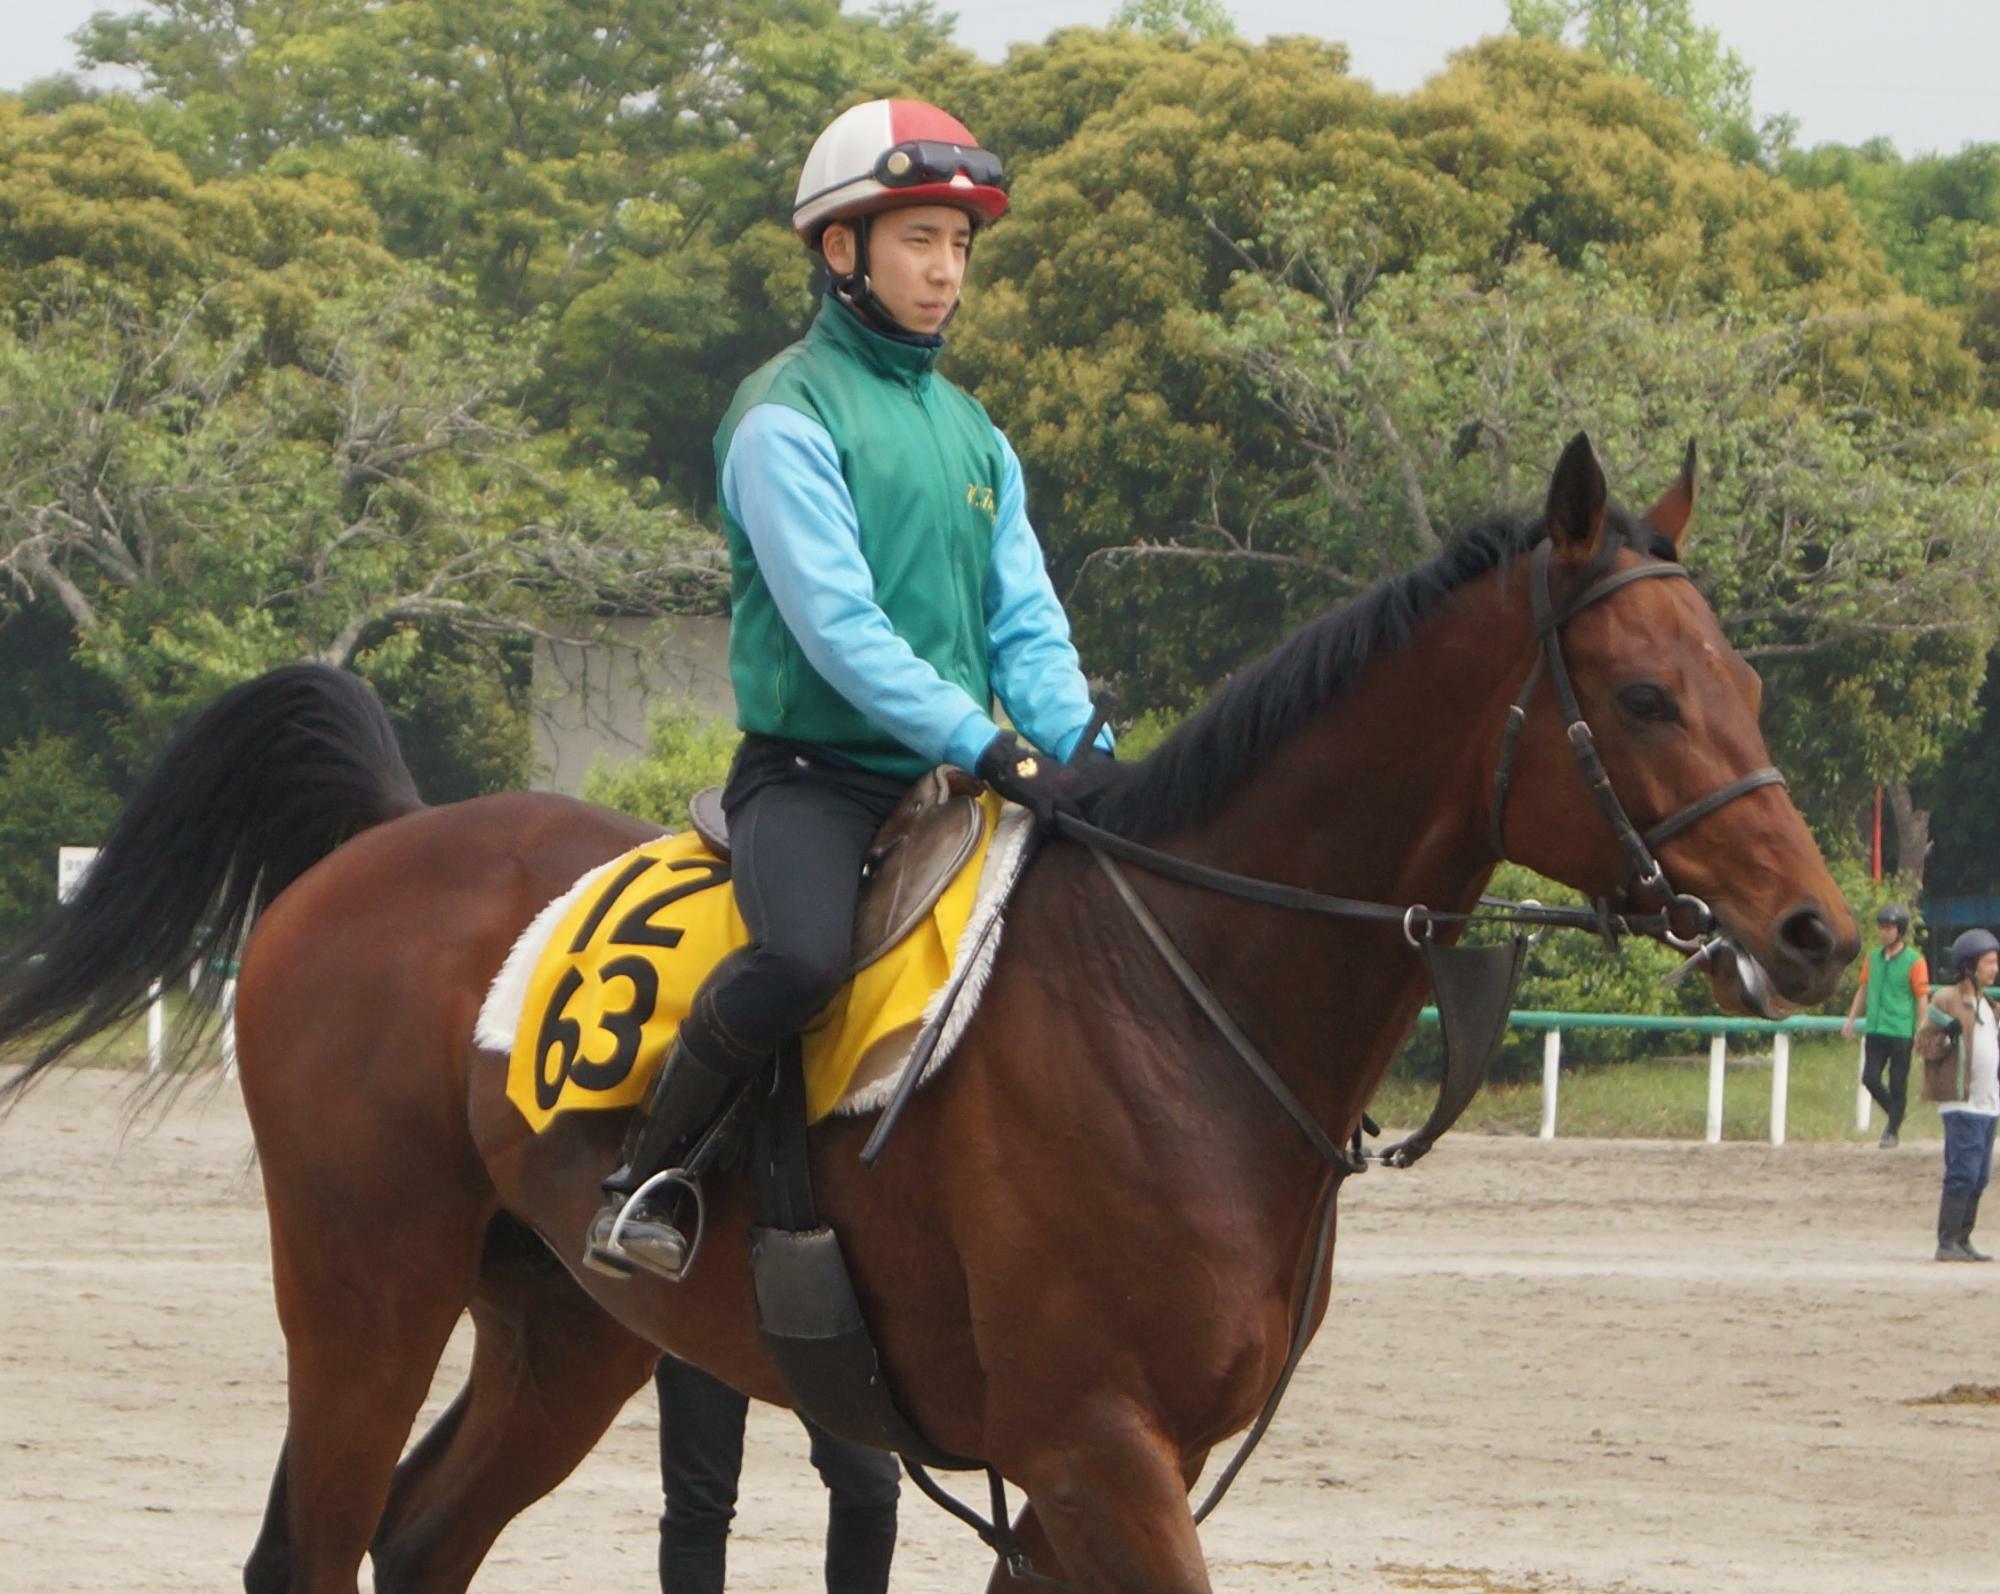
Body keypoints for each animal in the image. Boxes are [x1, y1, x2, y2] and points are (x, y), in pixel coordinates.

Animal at [0, 436, 1848, 1592]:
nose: (1816, 930)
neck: (1181, 999)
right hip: (363, 1288)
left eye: (1748, 684)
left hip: (567, 1328)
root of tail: (385, 835)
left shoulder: (1083, 1476)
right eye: (1645, 694)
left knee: (423, 1534)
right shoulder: (1100, 1449)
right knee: (321, 1540)